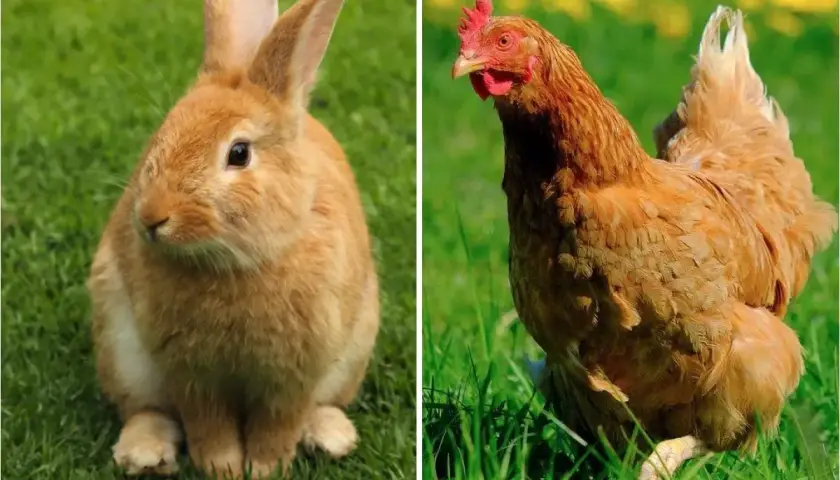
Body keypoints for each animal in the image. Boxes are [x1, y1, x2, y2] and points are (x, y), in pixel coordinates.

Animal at [86, 0, 380, 477]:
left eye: (238, 153)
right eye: (161, 135)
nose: (151, 217)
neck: (236, 263)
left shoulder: (295, 375)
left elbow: (278, 425)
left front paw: (263, 469)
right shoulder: (191, 374)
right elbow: (208, 424)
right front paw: (222, 468)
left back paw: (331, 437)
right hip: (121, 351)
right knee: (146, 409)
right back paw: (145, 454)